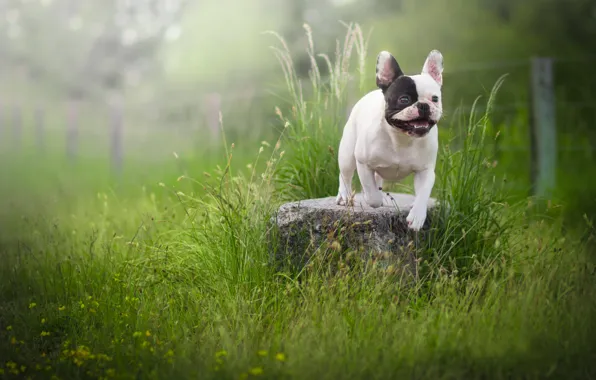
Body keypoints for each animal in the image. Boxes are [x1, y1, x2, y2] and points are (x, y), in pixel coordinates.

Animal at [336, 49, 442, 230]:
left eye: (435, 99)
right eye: (404, 99)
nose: (423, 105)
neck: (402, 137)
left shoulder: (425, 171)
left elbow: (423, 194)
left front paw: (417, 216)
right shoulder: (363, 163)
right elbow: (371, 193)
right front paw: (373, 199)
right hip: (347, 155)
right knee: (345, 176)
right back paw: (344, 196)